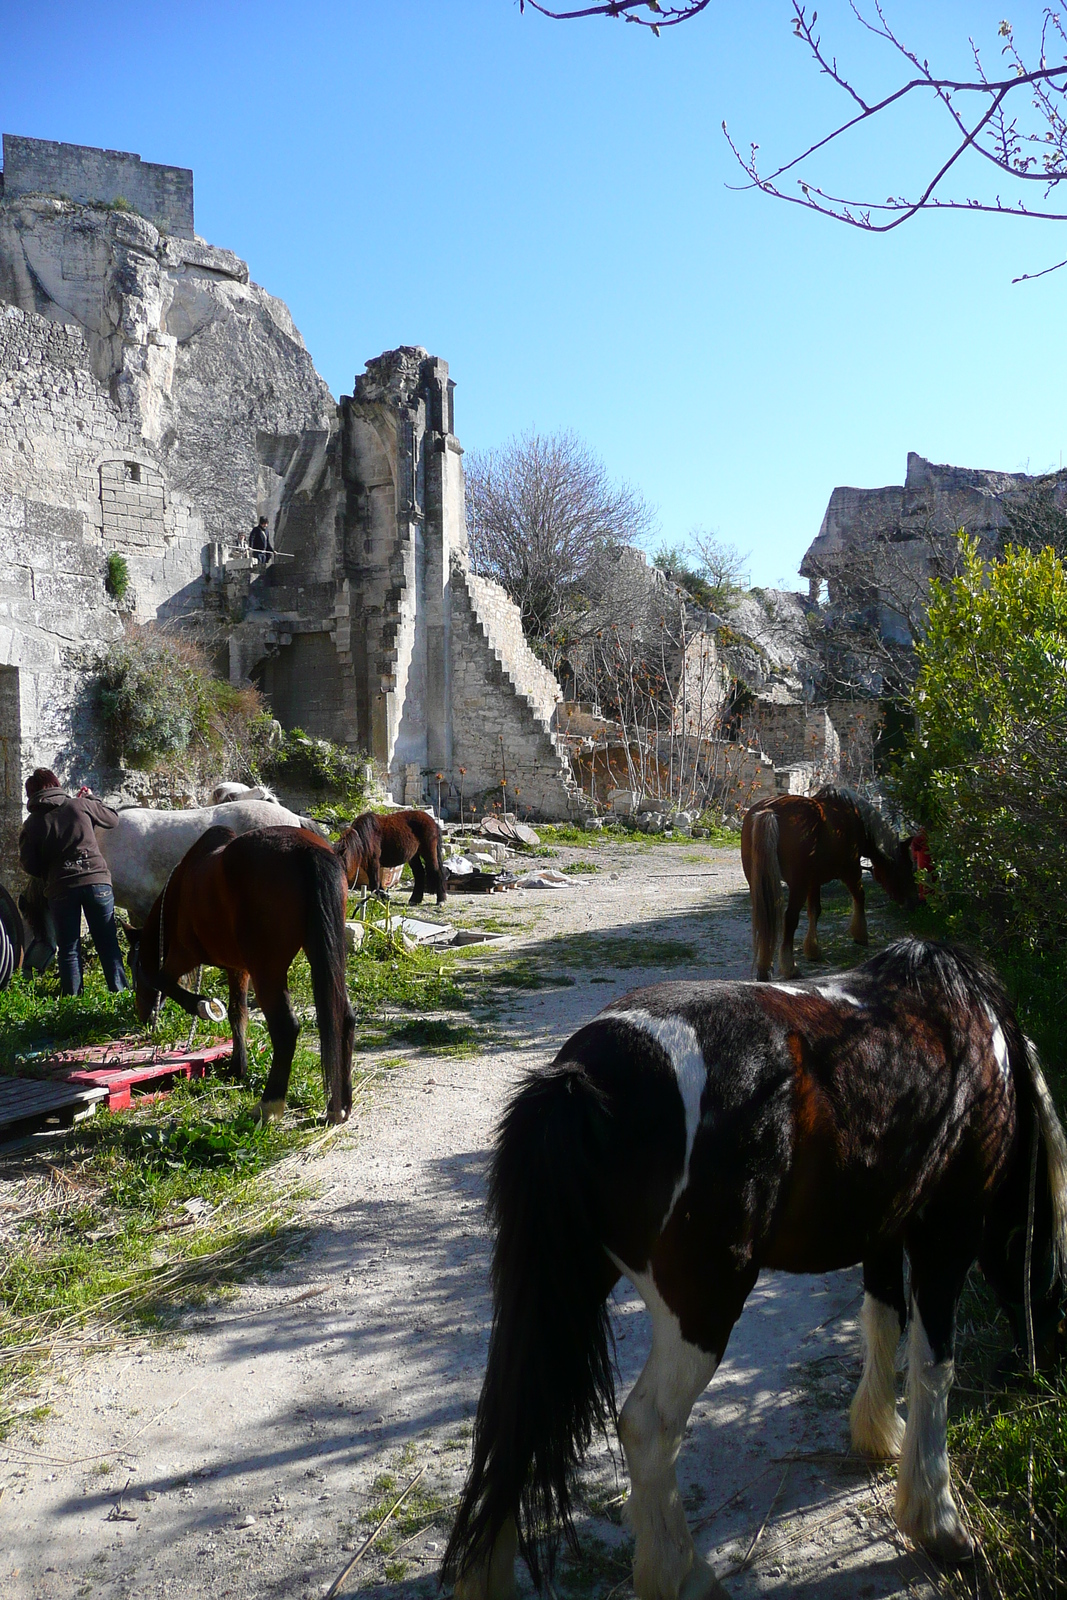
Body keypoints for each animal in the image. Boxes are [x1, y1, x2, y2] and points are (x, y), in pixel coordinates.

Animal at [128, 825, 355, 1126]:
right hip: (319, 952)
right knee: (344, 1017)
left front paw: (202, 1006)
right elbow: (238, 1012)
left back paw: (269, 1106)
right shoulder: (238, 968)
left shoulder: (184, 954)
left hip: (267, 970)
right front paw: (239, 1065)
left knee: (286, 1028)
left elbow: (162, 979)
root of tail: (307, 848)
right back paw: (339, 1106)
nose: (143, 1015)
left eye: (134, 969)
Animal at [441, 934, 1067, 1600]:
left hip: (568, 1290)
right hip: (703, 1307)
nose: (1036, 1369)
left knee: (518, 1419)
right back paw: (682, 1573)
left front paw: (878, 1432)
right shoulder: (943, 1233)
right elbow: (933, 1365)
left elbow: (881, 1322)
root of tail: (582, 1076)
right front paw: (938, 1522)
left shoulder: (883, 1230)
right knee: (647, 1426)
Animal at [742, 784, 921, 979]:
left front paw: (813, 950)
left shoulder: (813, 882)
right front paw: (860, 934)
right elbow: (860, 896)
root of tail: (770, 812)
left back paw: (764, 967)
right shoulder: (851, 871)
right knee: (789, 919)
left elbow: (815, 911)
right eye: (907, 866)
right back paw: (790, 968)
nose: (914, 902)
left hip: (761, 883)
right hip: (798, 885)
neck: (857, 820)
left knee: (765, 920)